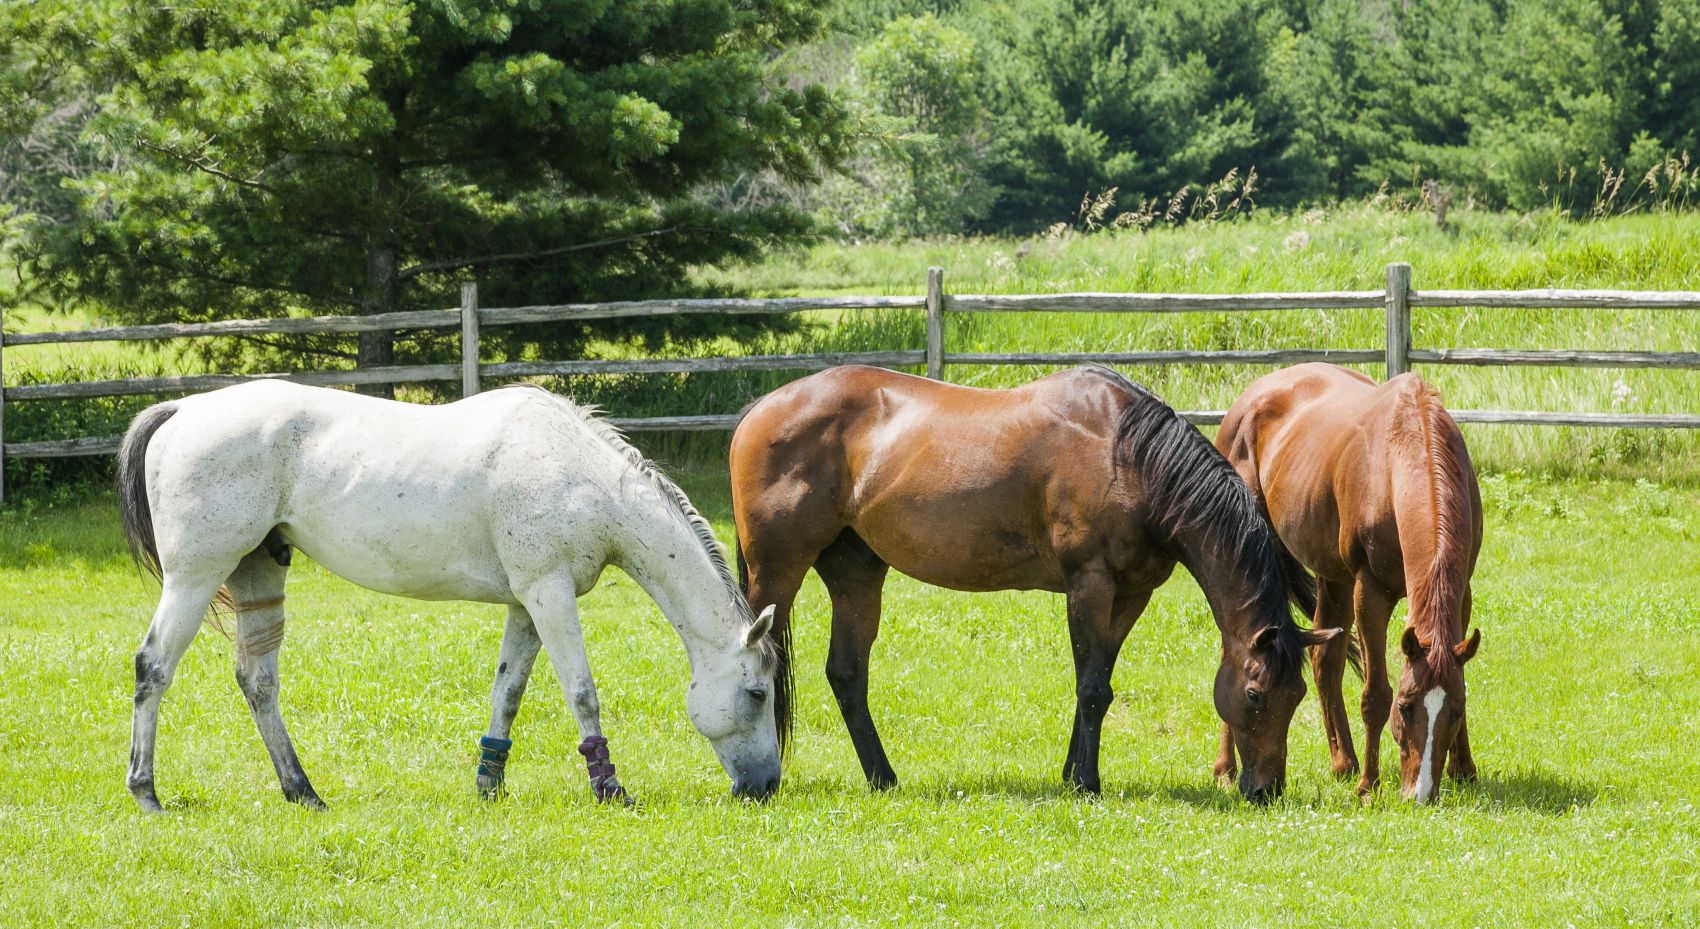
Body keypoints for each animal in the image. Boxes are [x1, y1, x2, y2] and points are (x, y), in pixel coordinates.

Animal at [116, 377, 778, 809]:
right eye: (757, 693)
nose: (765, 788)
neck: (585, 479)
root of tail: (184, 409)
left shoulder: (526, 605)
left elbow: (508, 693)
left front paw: (489, 783)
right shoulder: (550, 594)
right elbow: (582, 692)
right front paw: (609, 787)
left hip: (257, 571)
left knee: (258, 682)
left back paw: (301, 791)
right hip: (196, 576)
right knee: (153, 667)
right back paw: (147, 792)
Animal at [731, 360, 1339, 796]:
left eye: (1298, 694)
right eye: (1256, 694)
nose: (1265, 791)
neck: (1129, 459)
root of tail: (758, 410)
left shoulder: (1130, 595)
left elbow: (1096, 684)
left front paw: (1072, 773)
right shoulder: (1089, 585)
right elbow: (1092, 687)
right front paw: (1087, 783)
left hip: (856, 575)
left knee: (848, 674)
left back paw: (883, 778)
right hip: (777, 571)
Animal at [1217, 357, 1482, 799]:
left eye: (1456, 710)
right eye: (1406, 707)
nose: (1420, 793)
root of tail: (1249, 399)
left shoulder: (1462, 594)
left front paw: (1465, 769)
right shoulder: (1369, 592)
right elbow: (1375, 695)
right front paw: (1368, 786)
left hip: (1332, 578)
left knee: (1325, 659)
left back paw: (1343, 761)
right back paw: (1225, 767)